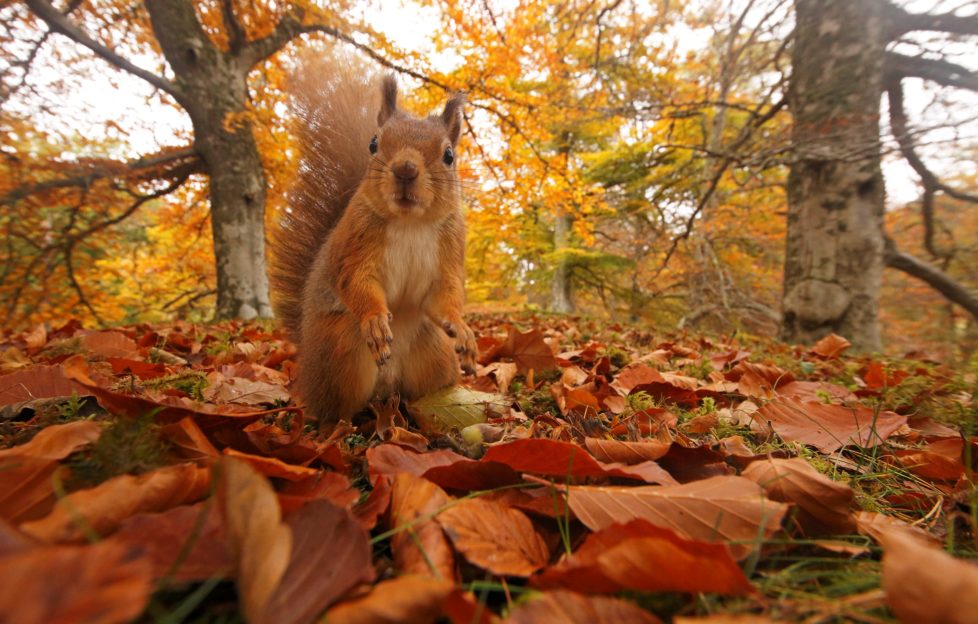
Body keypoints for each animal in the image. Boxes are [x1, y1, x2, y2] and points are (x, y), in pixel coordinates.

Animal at [270, 61, 476, 426]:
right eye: (373, 143)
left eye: (449, 155)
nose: (405, 169)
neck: (410, 222)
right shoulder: (356, 245)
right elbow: (356, 282)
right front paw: (376, 320)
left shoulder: (450, 248)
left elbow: (443, 296)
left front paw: (462, 327)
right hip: (340, 352)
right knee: (335, 409)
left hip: (435, 353)